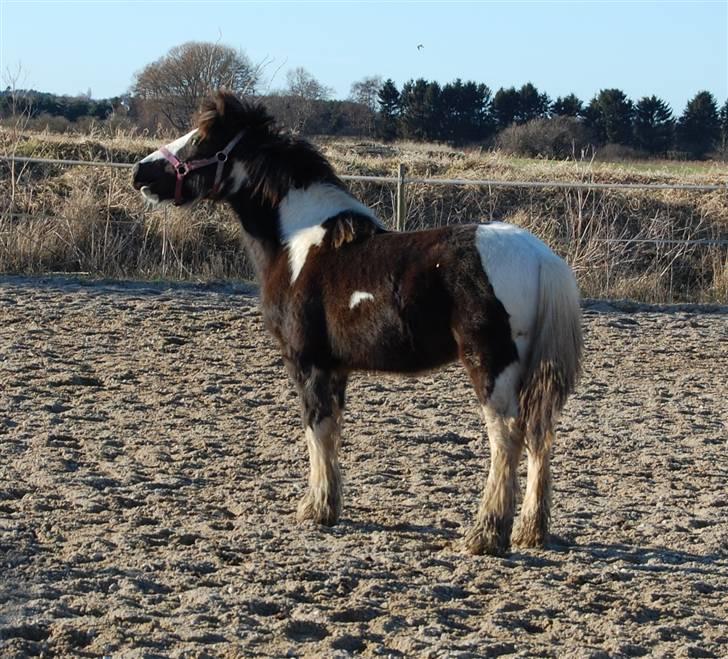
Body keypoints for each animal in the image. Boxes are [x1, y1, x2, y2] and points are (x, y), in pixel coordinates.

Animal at [134, 91, 584, 556]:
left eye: (202, 138)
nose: (141, 172)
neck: (299, 244)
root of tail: (541, 257)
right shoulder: (335, 367)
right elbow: (332, 431)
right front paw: (327, 504)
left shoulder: (306, 361)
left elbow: (316, 429)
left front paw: (315, 509)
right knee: (540, 435)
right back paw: (531, 531)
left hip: (491, 366)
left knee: (507, 437)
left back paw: (486, 534)